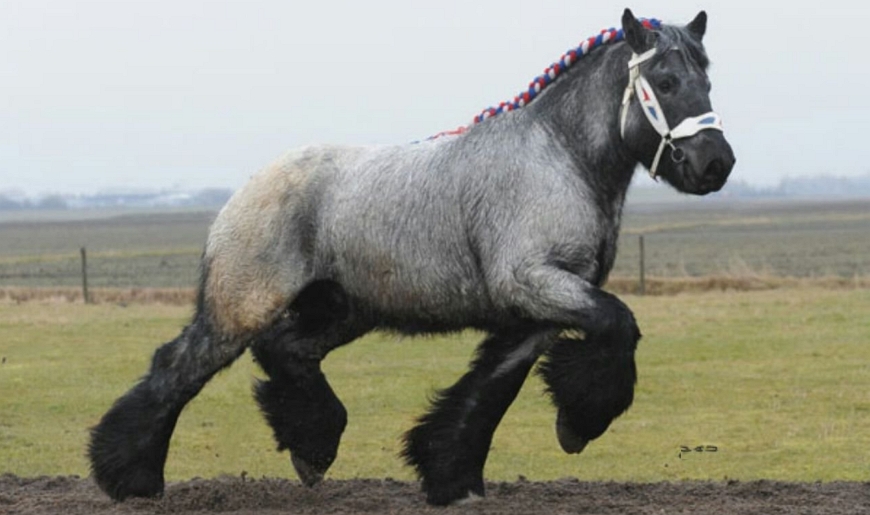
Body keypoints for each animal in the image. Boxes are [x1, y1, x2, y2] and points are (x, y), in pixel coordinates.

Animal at [88, 8, 736, 508]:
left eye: (707, 81)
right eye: (666, 80)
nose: (715, 163)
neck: (561, 160)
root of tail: (247, 188)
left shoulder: (542, 308)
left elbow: (489, 389)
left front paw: (453, 477)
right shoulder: (535, 283)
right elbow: (619, 324)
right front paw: (577, 426)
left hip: (342, 311)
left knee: (286, 352)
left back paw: (312, 449)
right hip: (241, 308)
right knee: (177, 368)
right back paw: (130, 477)